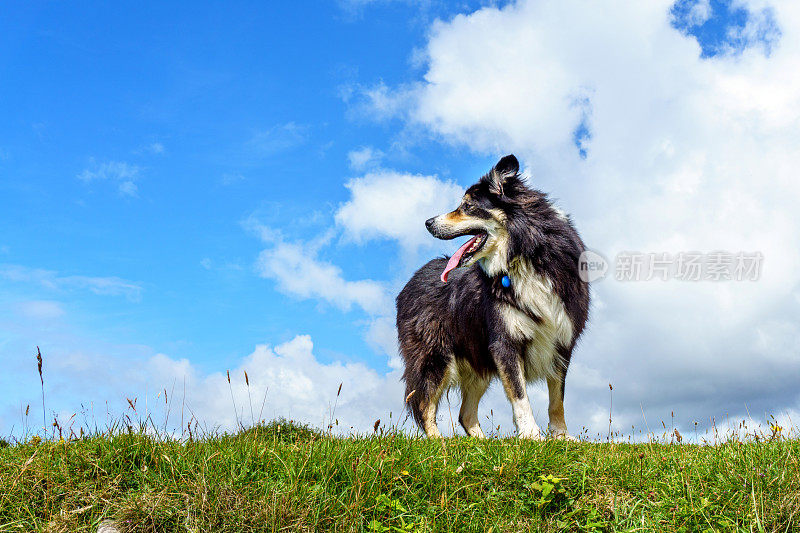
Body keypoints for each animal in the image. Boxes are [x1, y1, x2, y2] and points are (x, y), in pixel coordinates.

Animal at [394, 153, 588, 436]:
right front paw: (532, 435)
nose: (428, 223)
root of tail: (410, 282)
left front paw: (561, 436)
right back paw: (439, 441)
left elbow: (557, 399)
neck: (526, 254)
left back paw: (480, 441)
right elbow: (519, 394)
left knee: (465, 413)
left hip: (477, 362)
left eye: (467, 206)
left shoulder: (561, 340)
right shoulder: (504, 341)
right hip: (435, 357)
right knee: (423, 405)